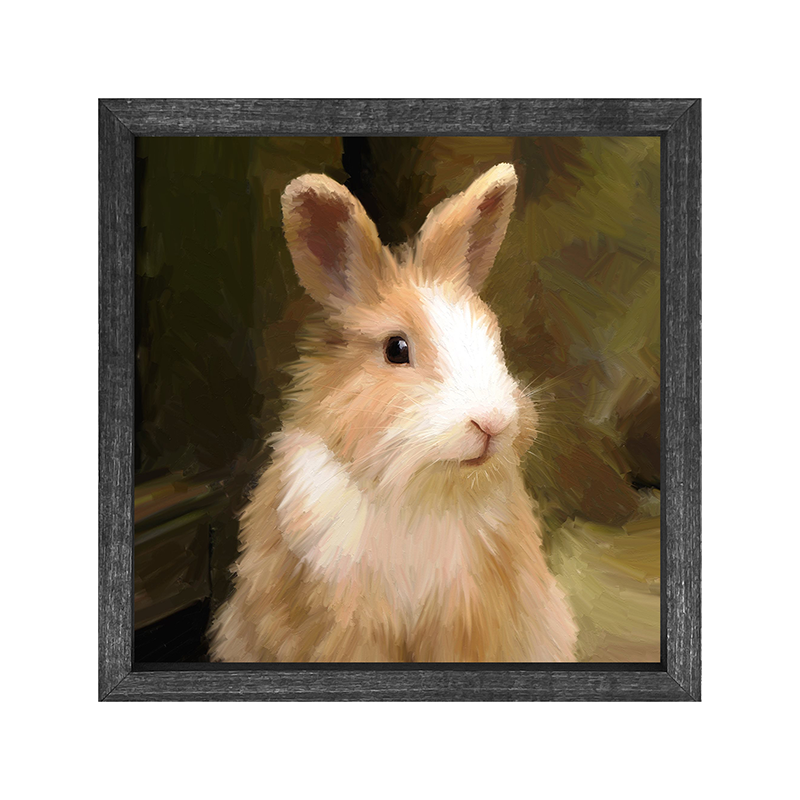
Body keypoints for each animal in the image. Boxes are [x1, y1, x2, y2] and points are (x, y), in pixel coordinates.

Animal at [209, 163, 578, 662]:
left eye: (493, 336)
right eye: (396, 349)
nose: (493, 422)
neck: (415, 490)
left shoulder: (467, 619)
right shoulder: (345, 623)